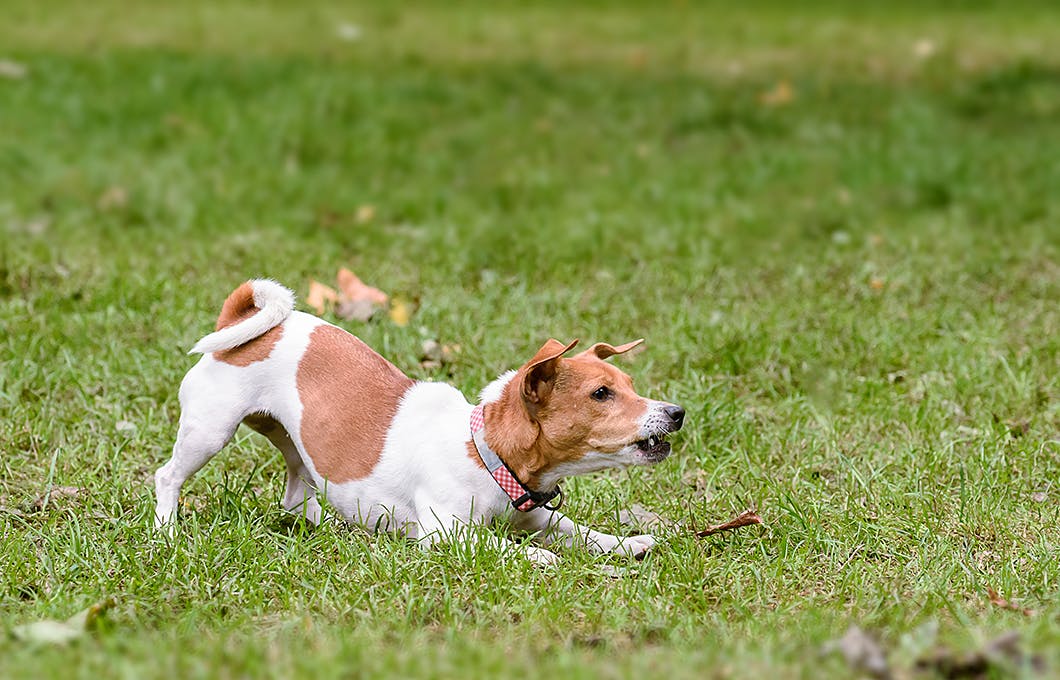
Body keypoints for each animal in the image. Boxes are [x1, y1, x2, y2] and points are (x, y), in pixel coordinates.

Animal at [156, 277, 686, 559]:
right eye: (601, 394)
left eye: (630, 384)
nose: (677, 413)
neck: (486, 453)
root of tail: (238, 326)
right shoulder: (447, 535)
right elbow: (510, 547)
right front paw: (540, 558)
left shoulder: (537, 517)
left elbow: (582, 533)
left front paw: (626, 543)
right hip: (210, 431)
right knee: (168, 476)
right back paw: (166, 530)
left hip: (294, 441)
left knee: (295, 491)